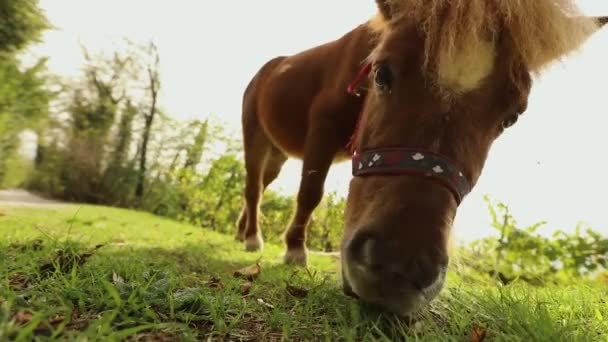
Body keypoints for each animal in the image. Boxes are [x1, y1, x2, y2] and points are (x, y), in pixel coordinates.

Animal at [235, 0, 604, 316]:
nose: (398, 267)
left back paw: (241, 233)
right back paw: (252, 238)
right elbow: (310, 193)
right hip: (255, 138)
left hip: (277, 155)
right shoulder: (321, 131)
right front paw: (295, 250)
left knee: (262, 186)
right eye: (382, 73)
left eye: (511, 117)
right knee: (253, 188)